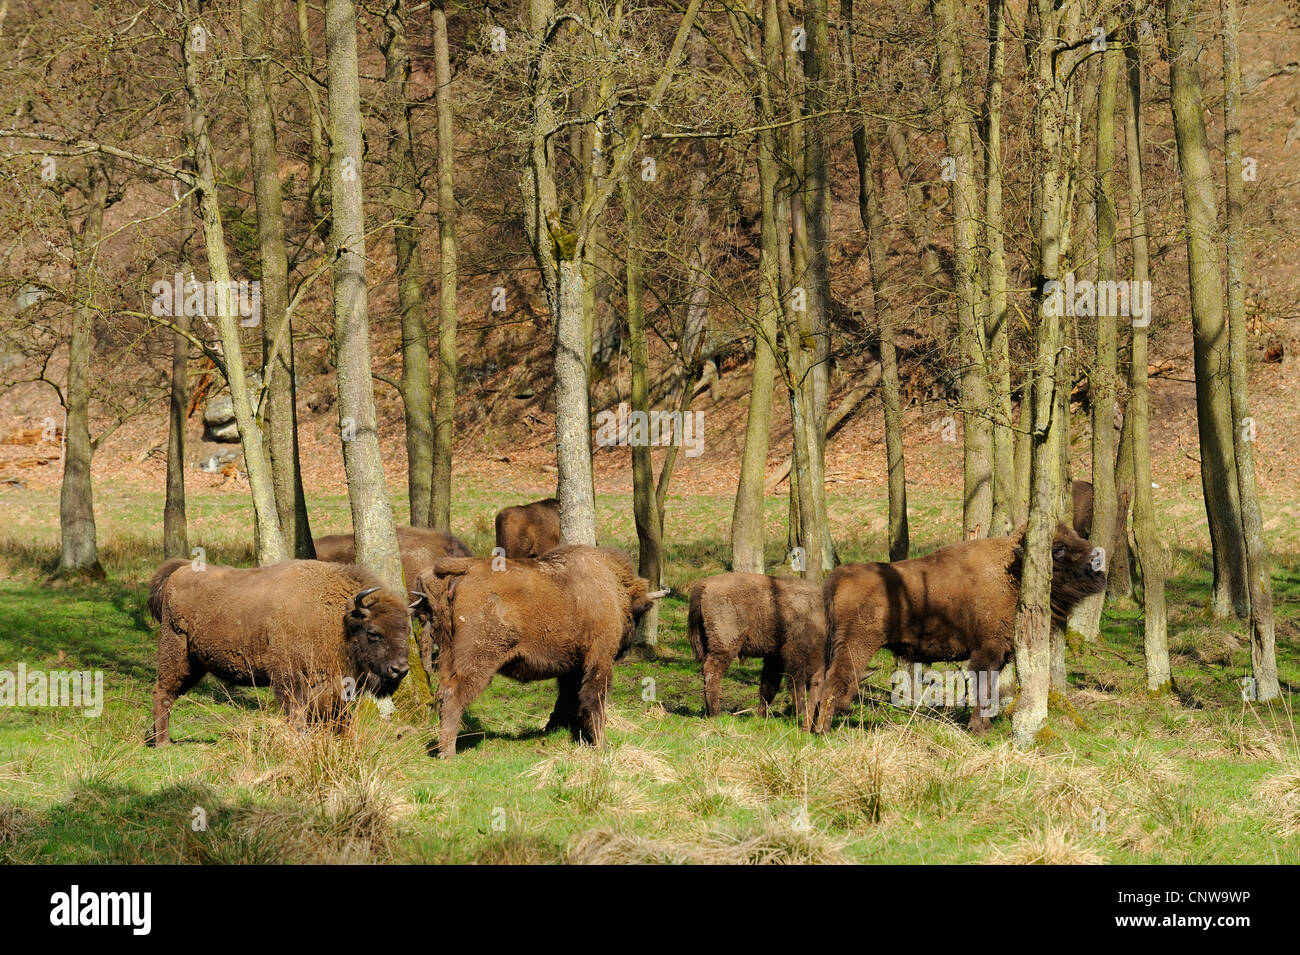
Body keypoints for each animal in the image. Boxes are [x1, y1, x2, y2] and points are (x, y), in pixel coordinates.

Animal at [143, 561, 408, 748]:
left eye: (405, 630)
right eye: (374, 633)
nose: (400, 669)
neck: (338, 618)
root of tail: (179, 571)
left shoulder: (331, 684)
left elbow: (340, 716)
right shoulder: (291, 679)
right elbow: (297, 714)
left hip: (196, 663)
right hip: (176, 652)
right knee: (162, 692)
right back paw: (163, 743)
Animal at [410, 548, 665, 758]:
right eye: (637, 613)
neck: (611, 587)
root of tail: (465, 569)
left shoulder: (573, 667)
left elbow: (569, 697)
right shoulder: (599, 658)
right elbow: (594, 698)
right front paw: (601, 744)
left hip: (446, 654)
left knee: (442, 693)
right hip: (479, 658)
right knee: (455, 696)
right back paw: (448, 753)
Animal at [691, 574, 821, 732]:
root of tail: (704, 585)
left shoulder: (775, 658)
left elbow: (769, 686)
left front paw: (761, 716)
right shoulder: (793, 654)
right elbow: (796, 685)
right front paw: (801, 713)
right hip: (725, 645)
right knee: (713, 671)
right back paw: (716, 713)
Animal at [816, 527, 1102, 738]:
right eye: (1059, 549)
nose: (1096, 560)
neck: (1011, 573)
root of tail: (840, 575)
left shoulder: (997, 656)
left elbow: (990, 689)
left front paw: (984, 727)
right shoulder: (987, 652)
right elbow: (982, 687)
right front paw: (979, 729)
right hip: (857, 646)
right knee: (835, 680)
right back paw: (824, 729)